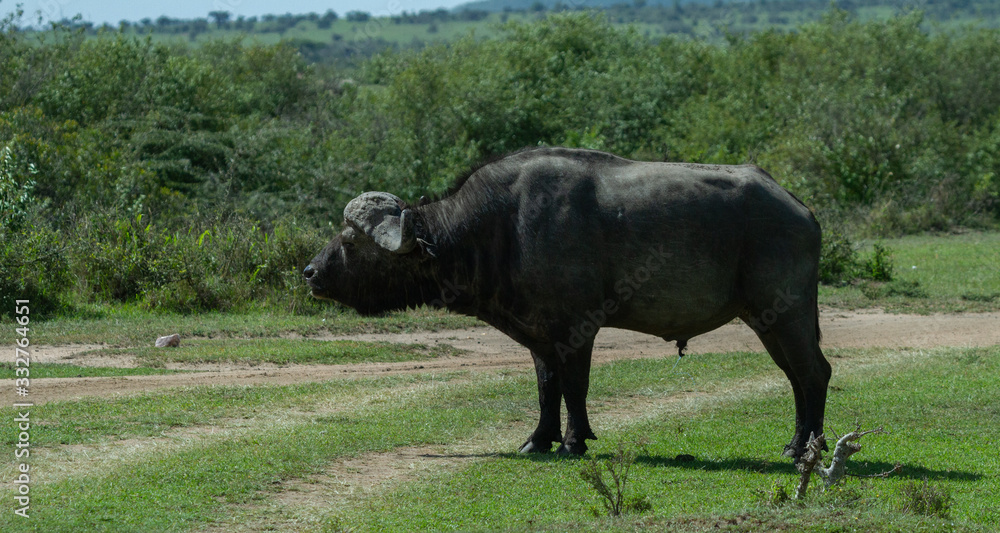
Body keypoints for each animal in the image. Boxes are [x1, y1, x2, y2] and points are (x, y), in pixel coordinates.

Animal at [304, 147, 830, 460]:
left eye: (350, 240)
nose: (310, 272)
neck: (499, 227)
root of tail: (801, 209)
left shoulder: (579, 329)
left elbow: (575, 388)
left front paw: (574, 442)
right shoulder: (541, 337)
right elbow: (546, 388)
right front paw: (539, 439)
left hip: (786, 314)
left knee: (813, 373)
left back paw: (811, 447)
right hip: (768, 321)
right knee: (796, 377)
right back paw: (795, 443)